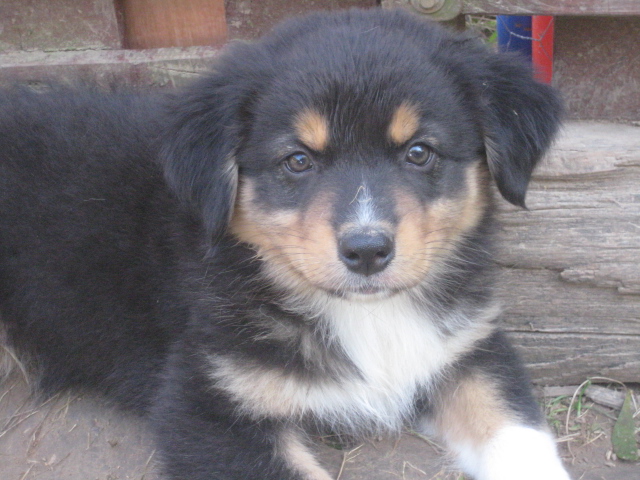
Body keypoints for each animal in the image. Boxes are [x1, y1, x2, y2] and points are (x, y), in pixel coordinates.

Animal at [0, 8, 569, 480]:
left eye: (419, 152)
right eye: (298, 160)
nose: (366, 251)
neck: (367, 318)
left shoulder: (467, 351)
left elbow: (521, 438)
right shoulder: (208, 402)